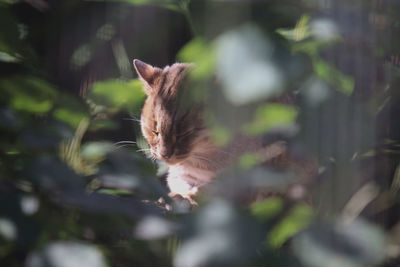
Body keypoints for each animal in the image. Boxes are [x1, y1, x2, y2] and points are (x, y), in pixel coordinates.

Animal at [133, 59, 314, 205]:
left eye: (183, 134)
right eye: (154, 130)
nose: (164, 155)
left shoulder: (246, 178)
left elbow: (206, 192)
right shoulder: (181, 176)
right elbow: (182, 186)